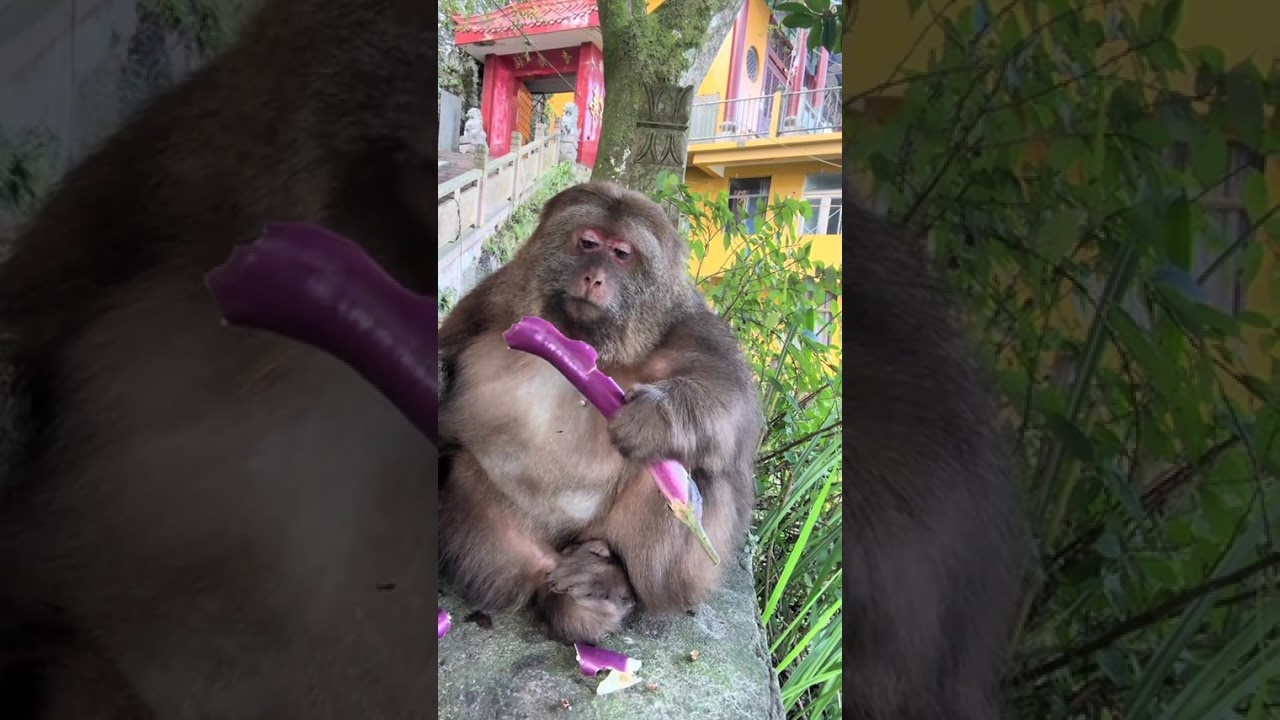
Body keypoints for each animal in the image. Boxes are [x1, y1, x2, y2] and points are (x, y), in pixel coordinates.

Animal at [436, 181, 764, 645]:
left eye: (621, 253)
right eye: (589, 243)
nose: (594, 276)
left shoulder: (692, 325)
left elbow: (733, 406)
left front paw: (654, 419)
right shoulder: (497, 295)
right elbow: (451, 347)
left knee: (689, 471)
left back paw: (611, 577)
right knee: (463, 472)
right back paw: (567, 600)